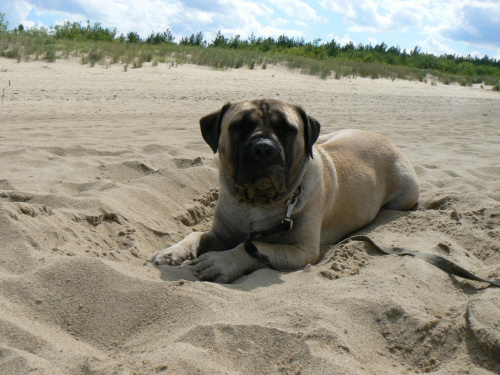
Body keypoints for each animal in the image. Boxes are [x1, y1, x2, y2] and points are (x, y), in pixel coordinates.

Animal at [151, 99, 418, 282]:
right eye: (239, 126)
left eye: (288, 129)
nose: (263, 148)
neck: (255, 204)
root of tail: (386, 139)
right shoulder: (221, 234)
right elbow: (196, 234)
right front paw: (173, 251)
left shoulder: (302, 252)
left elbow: (255, 248)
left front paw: (221, 261)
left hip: (405, 194)